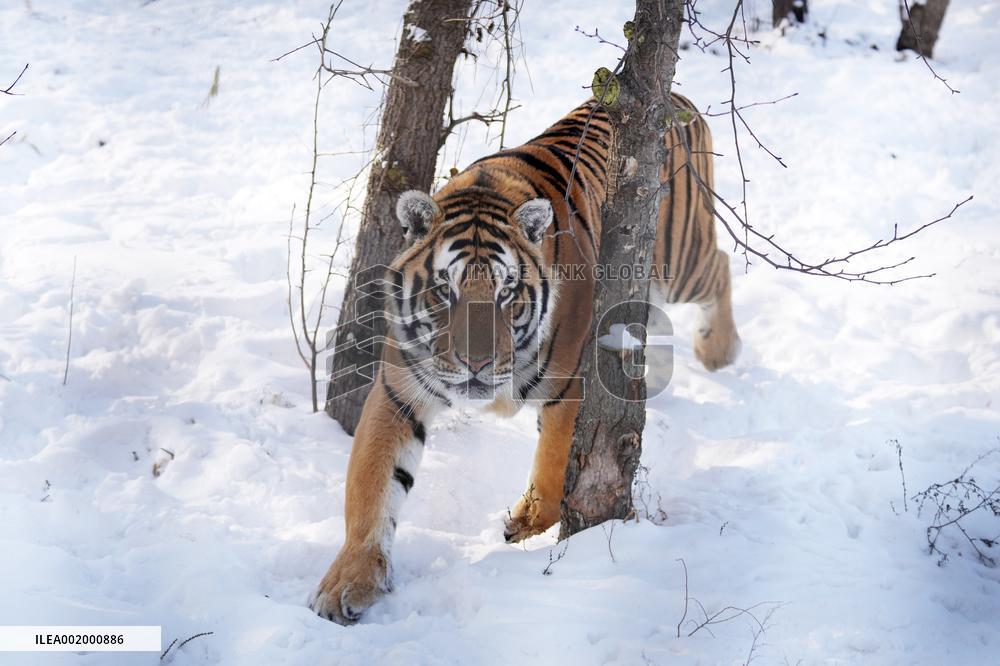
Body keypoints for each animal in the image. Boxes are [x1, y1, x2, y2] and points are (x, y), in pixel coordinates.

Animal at [309, 92, 741, 624]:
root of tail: (680, 102)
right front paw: (347, 583)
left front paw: (523, 526)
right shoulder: (399, 393)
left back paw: (719, 352)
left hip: (681, 260)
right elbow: (370, 488)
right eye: (444, 291)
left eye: (506, 292)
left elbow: (554, 473)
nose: (476, 365)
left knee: (720, 266)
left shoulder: (573, 384)